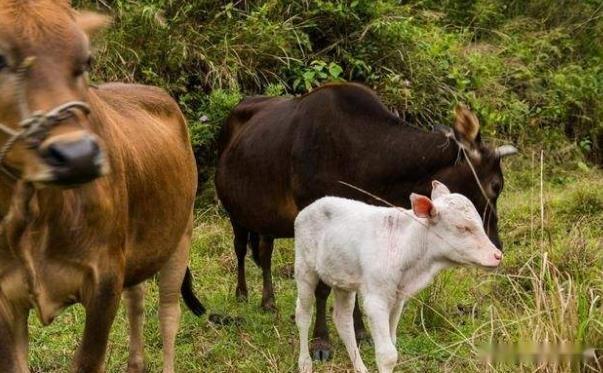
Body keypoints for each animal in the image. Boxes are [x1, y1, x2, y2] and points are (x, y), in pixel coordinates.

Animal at [0, 1, 203, 370]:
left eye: (86, 61)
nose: (77, 156)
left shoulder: (104, 281)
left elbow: (88, 360)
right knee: (137, 299)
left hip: (181, 235)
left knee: (169, 313)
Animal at [294, 179, 502, 370]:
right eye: (462, 227)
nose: (497, 255)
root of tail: (311, 207)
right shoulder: (376, 300)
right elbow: (387, 355)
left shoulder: (398, 297)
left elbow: (392, 341)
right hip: (304, 268)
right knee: (303, 313)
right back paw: (305, 363)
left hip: (343, 280)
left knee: (342, 319)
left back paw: (360, 367)